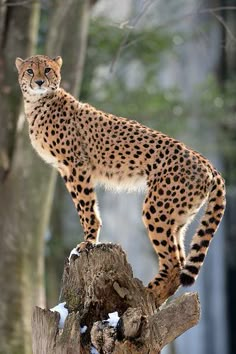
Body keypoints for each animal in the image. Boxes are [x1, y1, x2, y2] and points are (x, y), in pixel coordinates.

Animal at [15, 54, 226, 304]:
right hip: (178, 217)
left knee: (174, 263)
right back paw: (153, 298)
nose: (39, 81)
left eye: (47, 69)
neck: (37, 103)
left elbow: (86, 207)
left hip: (157, 209)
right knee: (180, 258)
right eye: (29, 71)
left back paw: (147, 294)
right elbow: (86, 206)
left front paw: (88, 242)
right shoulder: (67, 168)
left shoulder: (76, 165)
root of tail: (207, 162)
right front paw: (89, 240)